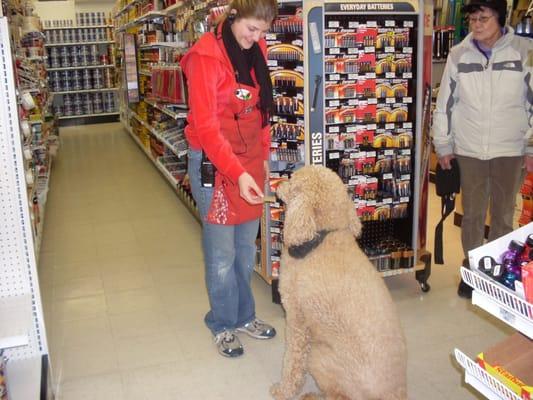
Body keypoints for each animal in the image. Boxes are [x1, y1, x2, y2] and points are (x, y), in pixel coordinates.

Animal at [270, 165, 408, 400]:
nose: (277, 185)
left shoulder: (297, 321)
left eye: (293, 181)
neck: (322, 237)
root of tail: (395, 394)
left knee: (337, 395)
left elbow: (292, 363)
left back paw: (312, 396)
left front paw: (283, 390)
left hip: (319, 355)